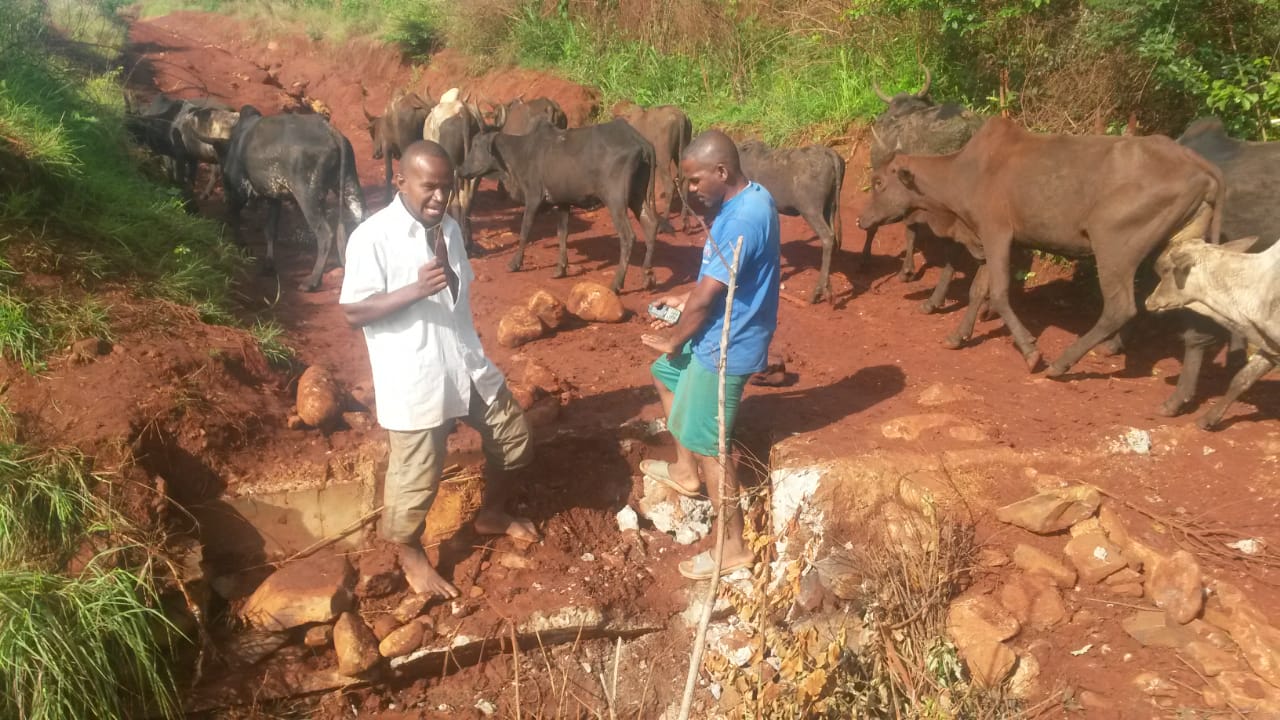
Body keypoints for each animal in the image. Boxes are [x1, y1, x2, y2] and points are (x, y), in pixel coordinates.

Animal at [193, 105, 365, 292]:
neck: (235, 145)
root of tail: (332, 133)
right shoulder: (274, 197)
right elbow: (270, 230)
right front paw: (268, 266)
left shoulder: (241, 191)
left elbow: (233, 217)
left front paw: (243, 249)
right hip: (349, 186)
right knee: (361, 221)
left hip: (308, 196)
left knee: (325, 234)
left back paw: (311, 281)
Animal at [457, 118, 660, 292]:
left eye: (476, 145)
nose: (461, 170)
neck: (520, 153)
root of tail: (641, 142)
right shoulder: (563, 201)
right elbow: (562, 233)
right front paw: (560, 268)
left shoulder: (533, 197)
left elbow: (525, 231)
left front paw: (514, 263)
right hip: (637, 196)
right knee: (651, 225)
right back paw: (647, 275)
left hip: (615, 200)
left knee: (628, 236)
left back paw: (617, 283)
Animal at [613, 102, 693, 233]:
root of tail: (680, 117)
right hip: (684, 143)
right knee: (685, 180)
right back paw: (685, 221)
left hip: (663, 153)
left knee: (669, 184)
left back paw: (664, 222)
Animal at [738, 140, 844, 303]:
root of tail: (829, 153)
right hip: (830, 207)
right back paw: (828, 288)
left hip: (810, 209)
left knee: (827, 237)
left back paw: (818, 291)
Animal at [856, 117, 1225, 392]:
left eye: (879, 182)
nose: (862, 219)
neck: (964, 173)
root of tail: (1199, 165)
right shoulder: (992, 238)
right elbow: (978, 289)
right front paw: (958, 336)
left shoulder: (996, 233)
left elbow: (998, 292)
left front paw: (1030, 351)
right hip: (1174, 245)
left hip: (1113, 245)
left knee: (1120, 307)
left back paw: (1062, 363)